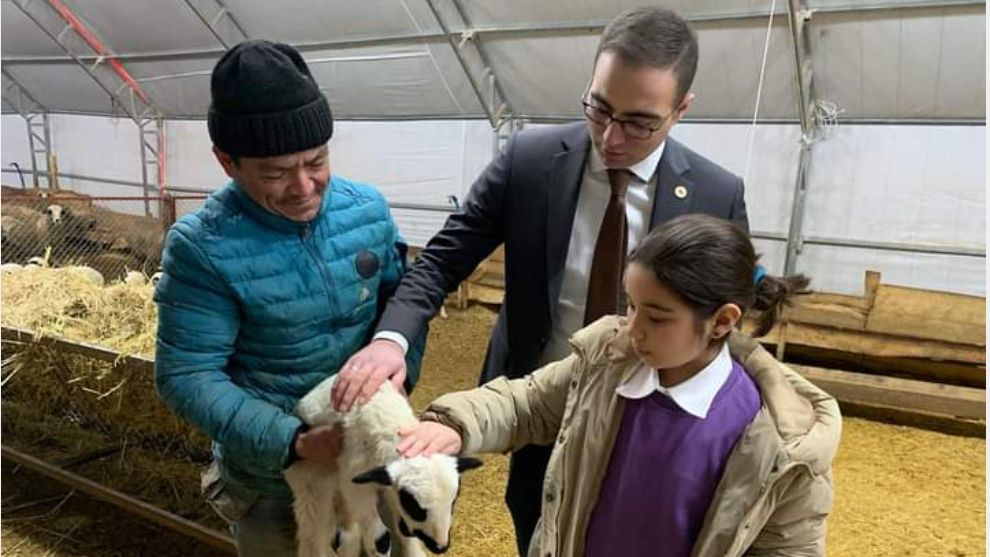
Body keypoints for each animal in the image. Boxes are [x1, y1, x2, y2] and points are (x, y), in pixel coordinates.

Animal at [286, 374, 484, 556]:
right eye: (414, 507)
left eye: (454, 500)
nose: (440, 547)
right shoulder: (355, 482)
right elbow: (380, 539)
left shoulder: (389, 486)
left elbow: (403, 530)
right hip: (311, 476)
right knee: (313, 528)